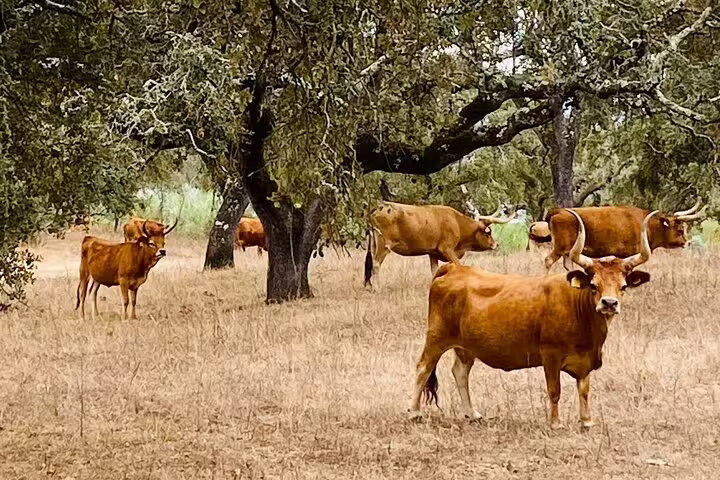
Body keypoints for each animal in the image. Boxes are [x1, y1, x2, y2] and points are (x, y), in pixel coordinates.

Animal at [363, 202, 512, 291]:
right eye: (488, 233)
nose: (496, 244)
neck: (456, 222)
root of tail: (376, 210)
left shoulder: (432, 253)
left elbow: (434, 271)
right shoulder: (447, 249)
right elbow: (458, 265)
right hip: (383, 245)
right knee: (376, 264)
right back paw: (377, 288)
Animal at [409, 209, 657, 430]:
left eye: (623, 286)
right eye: (594, 285)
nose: (609, 303)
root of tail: (453, 269)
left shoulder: (585, 360)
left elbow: (584, 389)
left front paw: (586, 421)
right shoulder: (550, 355)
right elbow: (555, 390)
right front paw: (555, 423)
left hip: (466, 346)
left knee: (460, 373)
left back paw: (472, 413)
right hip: (436, 337)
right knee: (423, 368)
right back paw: (414, 412)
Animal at [543, 200, 705, 272]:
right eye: (680, 229)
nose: (687, 242)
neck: (646, 224)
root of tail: (558, 211)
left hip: (567, 251)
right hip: (560, 248)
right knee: (548, 260)